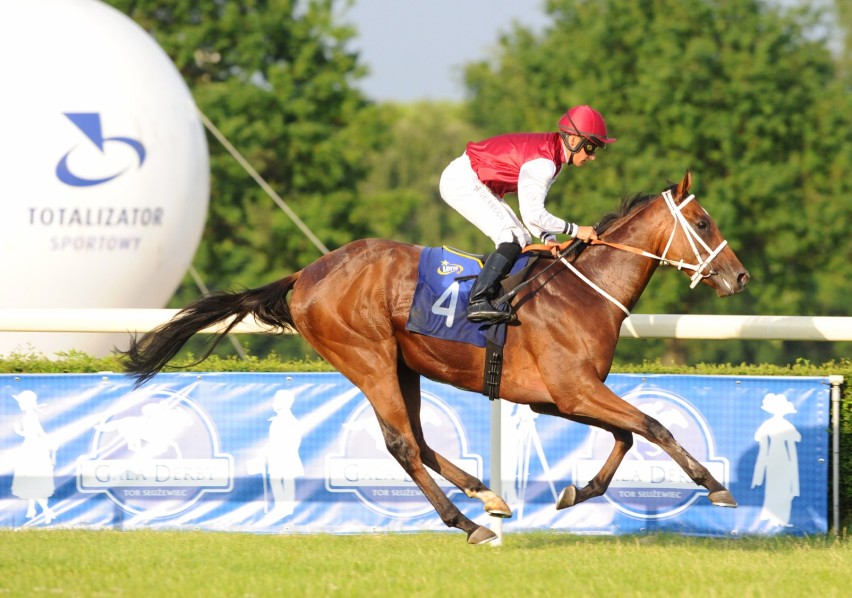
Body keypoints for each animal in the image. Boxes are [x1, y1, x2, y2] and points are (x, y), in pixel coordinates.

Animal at [120, 171, 744, 548]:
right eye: (704, 222)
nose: (739, 276)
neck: (582, 293)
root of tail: (307, 274)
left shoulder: (558, 399)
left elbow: (626, 436)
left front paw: (577, 492)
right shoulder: (573, 390)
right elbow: (654, 426)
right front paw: (715, 485)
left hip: (405, 367)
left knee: (418, 442)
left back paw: (488, 497)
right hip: (368, 360)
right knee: (401, 445)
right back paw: (467, 523)